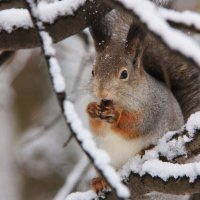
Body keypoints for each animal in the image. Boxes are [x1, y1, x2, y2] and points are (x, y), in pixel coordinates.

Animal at [86, 9, 184, 194]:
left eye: (124, 74)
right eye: (93, 71)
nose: (102, 93)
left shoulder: (152, 109)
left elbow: (135, 126)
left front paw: (115, 115)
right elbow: (96, 129)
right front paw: (91, 110)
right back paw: (99, 181)